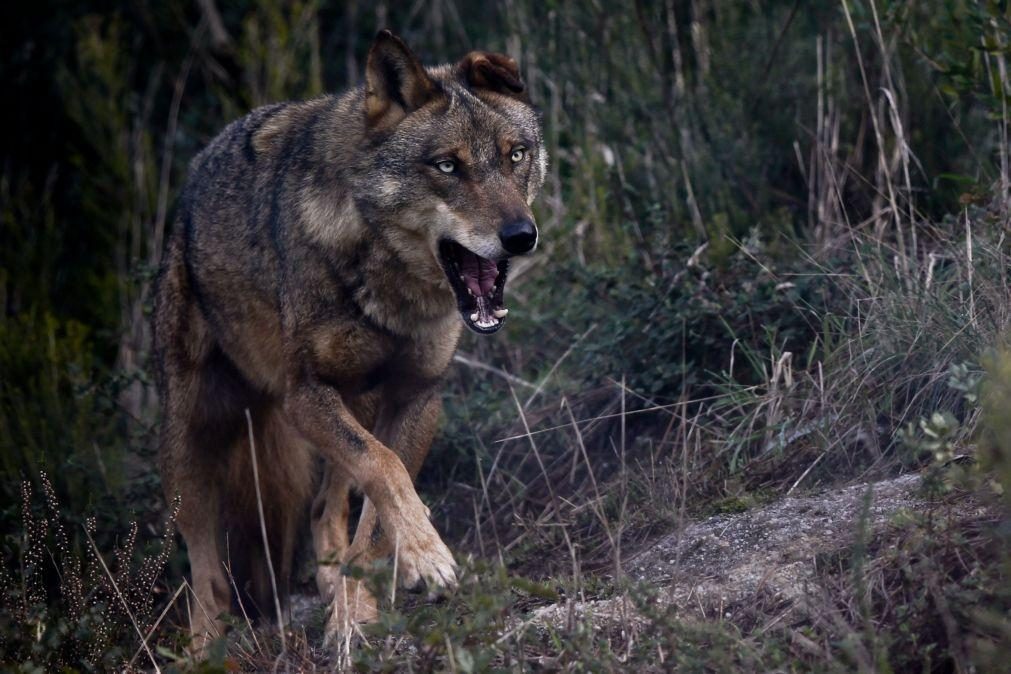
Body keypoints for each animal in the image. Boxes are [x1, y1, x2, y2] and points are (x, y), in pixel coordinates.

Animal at [151, 29, 545, 646]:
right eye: (447, 166)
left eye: (516, 156)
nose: (521, 236)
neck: (388, 290)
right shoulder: (305, 395)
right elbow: (384, 469)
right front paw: (426, 558)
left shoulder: (417, 397)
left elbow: (377, 513)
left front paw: (358, 614)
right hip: (191, 437)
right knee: (206, 567)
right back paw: (206, 646)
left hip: (349, 405)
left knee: (322, 509)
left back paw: (335, 594)